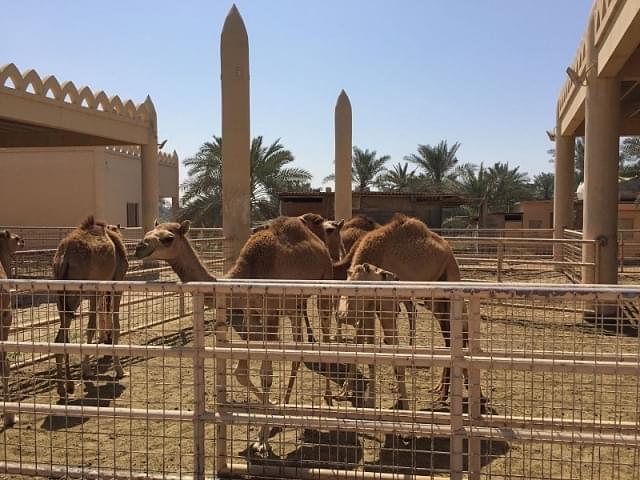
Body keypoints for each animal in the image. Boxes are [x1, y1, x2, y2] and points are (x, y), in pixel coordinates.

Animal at [52, 218, 129, 398]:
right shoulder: (116, 282)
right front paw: (119, 369)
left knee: (61, 338)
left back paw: (65, 387)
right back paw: (67, 386)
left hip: (61, 294)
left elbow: (93, 324)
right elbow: (111, 325)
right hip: (75, 293)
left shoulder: (97, 289)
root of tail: (64, 256)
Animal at [136, 216, 336, 456]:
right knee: (298, 350)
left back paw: (328, 399)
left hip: (323, 285)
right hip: (294, 304)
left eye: (168, 238)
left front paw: (262, 440)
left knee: (324, 337)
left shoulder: (270, 313)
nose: (139, 247)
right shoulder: (250, 318)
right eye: (147, 233)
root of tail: (321, 246)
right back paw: (286, 408)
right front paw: (273, 410)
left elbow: (266, 375)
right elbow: (240, 372)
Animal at [332, 214, 468, 408]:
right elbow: (362, 345)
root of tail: (448, 249)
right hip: (435, 301)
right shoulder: (368, 309)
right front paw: (344, 392)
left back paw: (445, 396)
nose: (342, 314)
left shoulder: (386, 308)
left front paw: (401, 400)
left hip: (449, 282)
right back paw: (440, 391)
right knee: (448, 336)